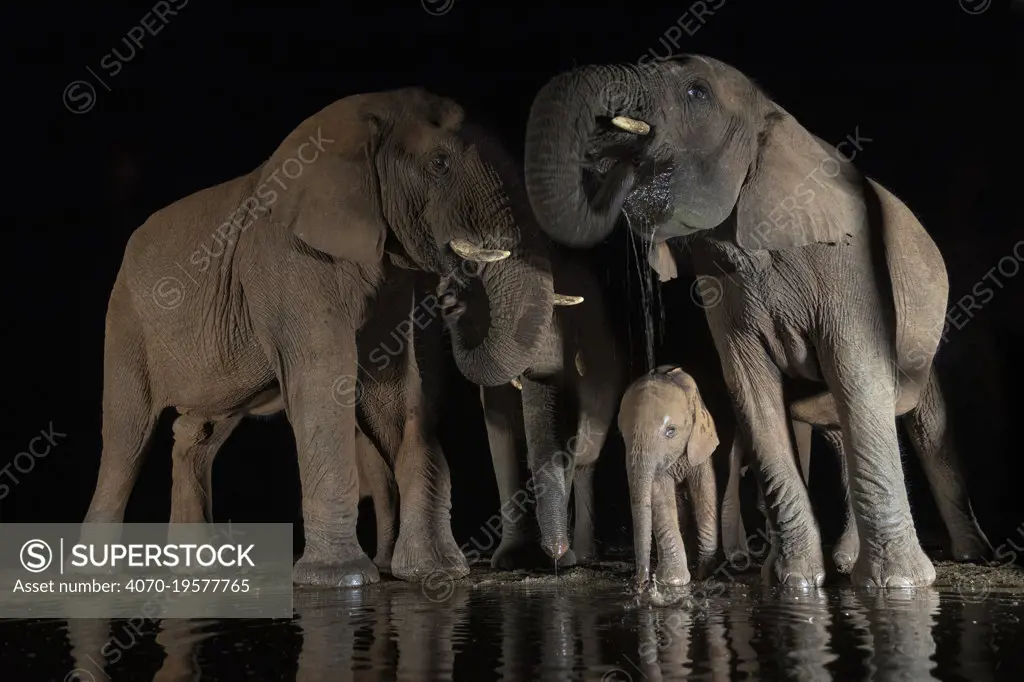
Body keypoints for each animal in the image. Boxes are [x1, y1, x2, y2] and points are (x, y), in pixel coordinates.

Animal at [83, 86, 557, 585]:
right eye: (440, 164)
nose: (451, 297)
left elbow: (391, 387)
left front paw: (436, 572)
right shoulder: (289, 260)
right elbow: (324, 378)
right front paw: (341, 578)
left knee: (198, 432)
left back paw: (195, 572)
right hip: (126, 321)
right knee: (126, 440)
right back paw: (95, 575)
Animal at [464, 246, 622, 565]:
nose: (554, 552)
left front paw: (560, 560)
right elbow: (499, 428)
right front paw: (509, 561)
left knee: (587, 461)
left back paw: (584, 556)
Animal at [614, 364, 720, 585]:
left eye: (671, 431)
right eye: (621, 435)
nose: (640, 581)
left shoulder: (701, 443)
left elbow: (704, 490)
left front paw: (703, 572)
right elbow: (660, 495)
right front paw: (673, 581)